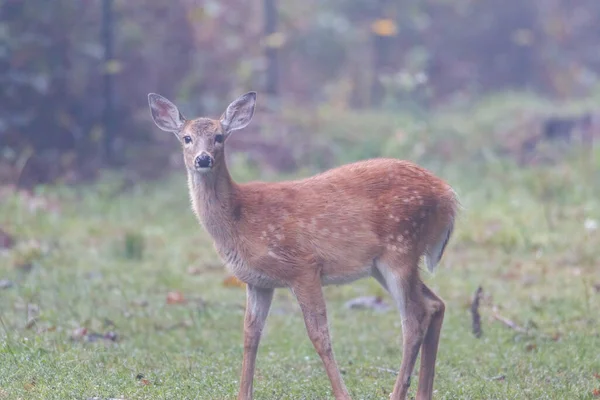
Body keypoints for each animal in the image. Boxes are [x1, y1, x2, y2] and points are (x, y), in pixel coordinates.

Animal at [148, 91, 458, 400]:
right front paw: (244, 394)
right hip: (382, 265)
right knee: (435, 304)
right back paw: (423, 393)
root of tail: (448, 196)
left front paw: (343, 395)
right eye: (186, 138)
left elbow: (319, 336)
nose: (203, 159)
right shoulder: (258, 281)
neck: (239, 219)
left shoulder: (303, 266)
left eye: (219, 136)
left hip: (400, 248)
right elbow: (250, 335)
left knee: (415, 318)